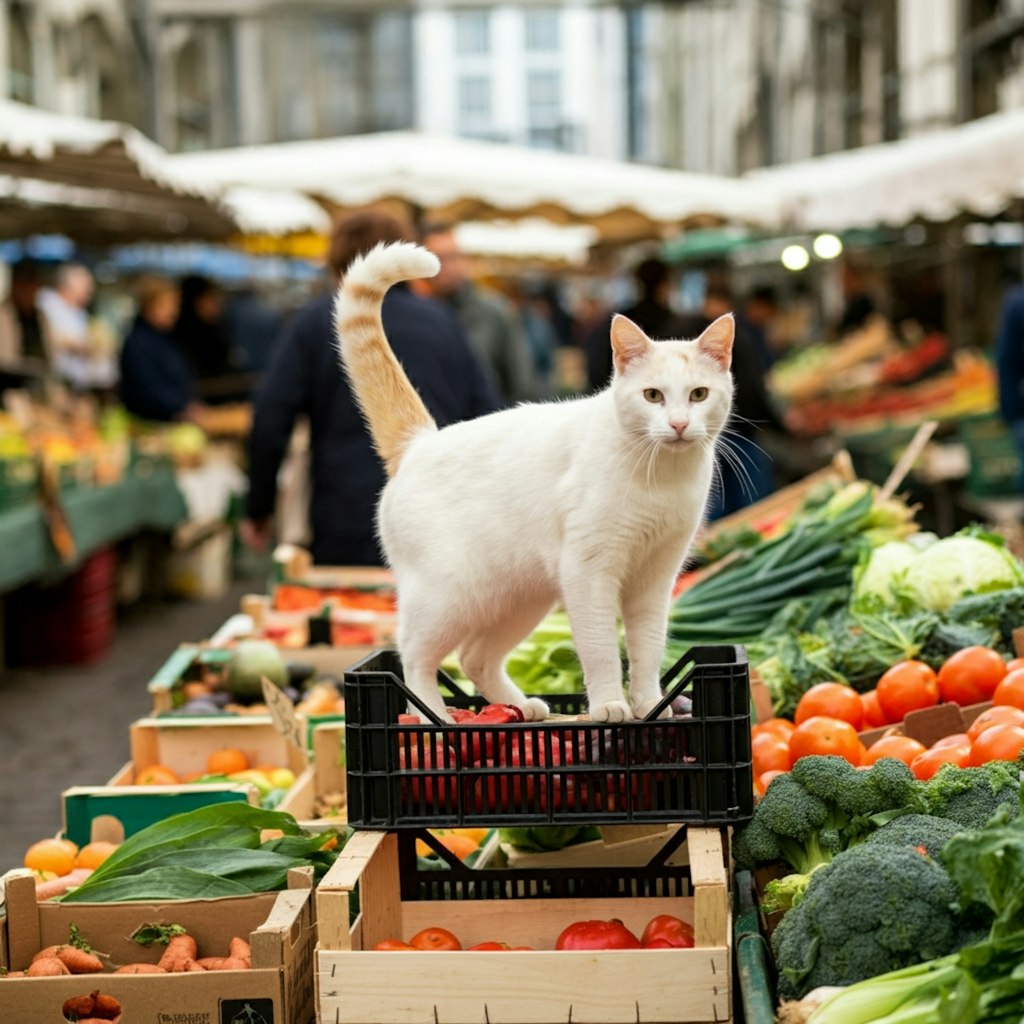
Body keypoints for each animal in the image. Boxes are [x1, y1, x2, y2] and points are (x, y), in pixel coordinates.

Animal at [337, 240, 737, 724]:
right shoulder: (589, 571)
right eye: (653, 396)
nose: (678, 425)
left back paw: (519, 706)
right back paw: (437, 717)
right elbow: (602, 648)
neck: (659, 476)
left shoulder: (655, 578)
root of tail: (420, 442)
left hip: (518, 600)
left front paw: (647, 703)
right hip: (447, 598)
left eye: (698, 395)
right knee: (412, 658)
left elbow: (647, 647)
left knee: (474, 658)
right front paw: (610, 705)